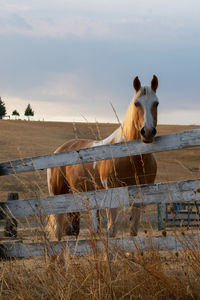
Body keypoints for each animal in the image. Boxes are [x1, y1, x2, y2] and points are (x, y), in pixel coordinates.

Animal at [47, 75, 159, 241]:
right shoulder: (112, 196)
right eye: (136, 103)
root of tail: (58, 150)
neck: (131, 158)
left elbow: (133, 231)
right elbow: (111, 231)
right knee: (58, 230)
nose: (148, 132)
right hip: (58, 196)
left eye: (156, 103)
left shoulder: (139, 196)